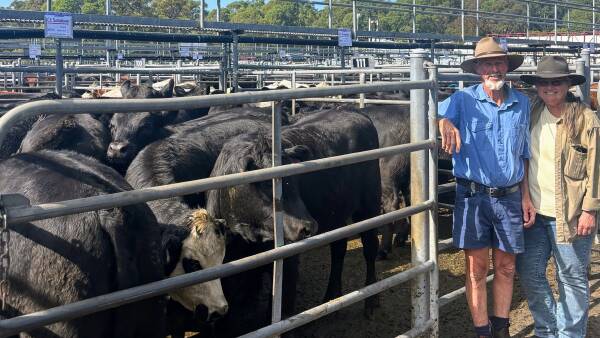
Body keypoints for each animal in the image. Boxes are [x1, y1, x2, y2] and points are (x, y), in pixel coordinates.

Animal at [209, 110, 382, 328]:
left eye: (293, 179)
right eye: (266, 183)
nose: (307, 227)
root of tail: (354, 112)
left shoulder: (288, 259)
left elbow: (282, 304)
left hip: (369, 204)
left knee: (370, 248)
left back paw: (372, 301)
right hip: (336, 213)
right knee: (338, 249)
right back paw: (332, 298)